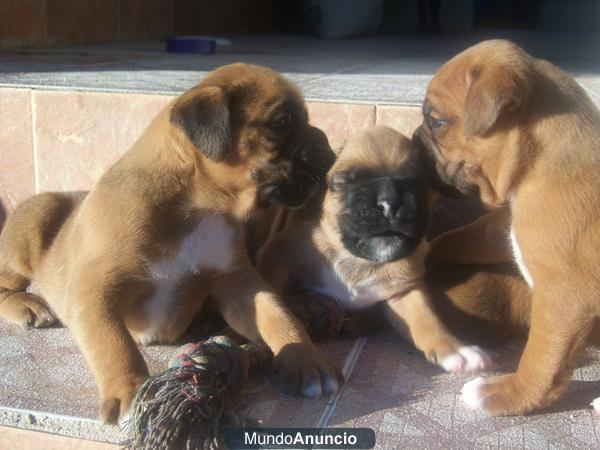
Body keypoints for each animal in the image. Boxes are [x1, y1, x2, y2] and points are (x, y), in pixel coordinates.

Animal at [0, 64, 342, 426]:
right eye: (281, 122)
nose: (326, 146)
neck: (198, 204)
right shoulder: (94, 292)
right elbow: (112, 342)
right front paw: (130, 391)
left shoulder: (239, 282)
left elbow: (276, 314)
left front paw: (305, 357)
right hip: (36, 218)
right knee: (6, 283)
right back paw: (27, 305)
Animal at [258, 126, 492, 372]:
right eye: (343, 183)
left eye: (416, 183)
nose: (388, 203)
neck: (360, 260)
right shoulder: (278, 258)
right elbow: (272, 299)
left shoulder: (405, 291)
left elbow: (427, 320)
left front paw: (455, 349)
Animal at [414, 40, 600, 416]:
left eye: (436, 122)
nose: (411, 141)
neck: (535, 163)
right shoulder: (501, 226)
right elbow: (461, 237)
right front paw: (423, 254)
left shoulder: (564, 298)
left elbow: (541, 359)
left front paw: (507, 393)